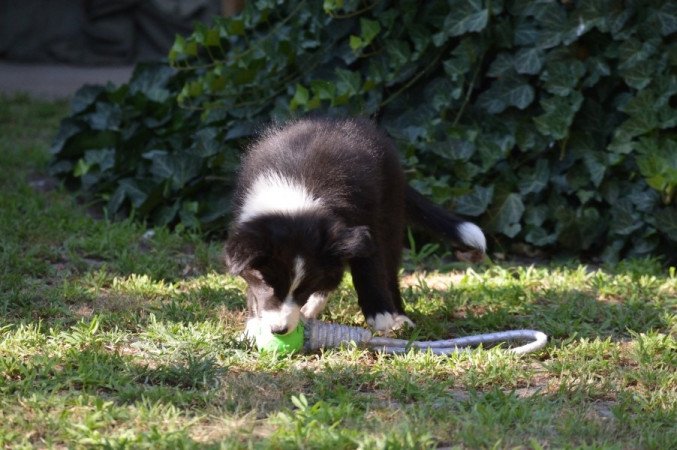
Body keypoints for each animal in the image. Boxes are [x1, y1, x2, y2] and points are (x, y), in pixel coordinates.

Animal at [224, 118, 484, 336]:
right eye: (269, 283)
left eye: (303, 288)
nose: (279, 330)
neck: (293, 193)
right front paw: (254, 322)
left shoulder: (363, 221)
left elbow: (368, 267)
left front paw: (380, 314)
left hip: (389, 212)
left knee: (387, 267)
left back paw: (398, 315)